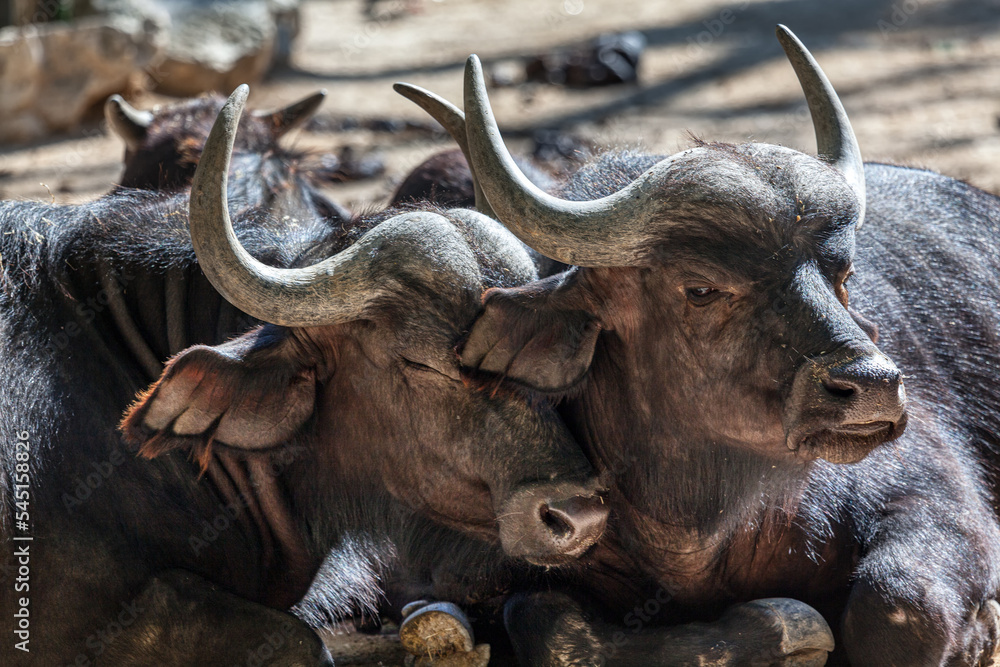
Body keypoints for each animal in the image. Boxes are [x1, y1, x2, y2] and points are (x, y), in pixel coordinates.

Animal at [390, 26, 1000, 666]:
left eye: (843, 274)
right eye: (702, 288)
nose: (874, 388)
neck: (691, 530)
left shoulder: (935, 496)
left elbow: (896, 606)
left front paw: (980, 630)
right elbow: (544, 621)